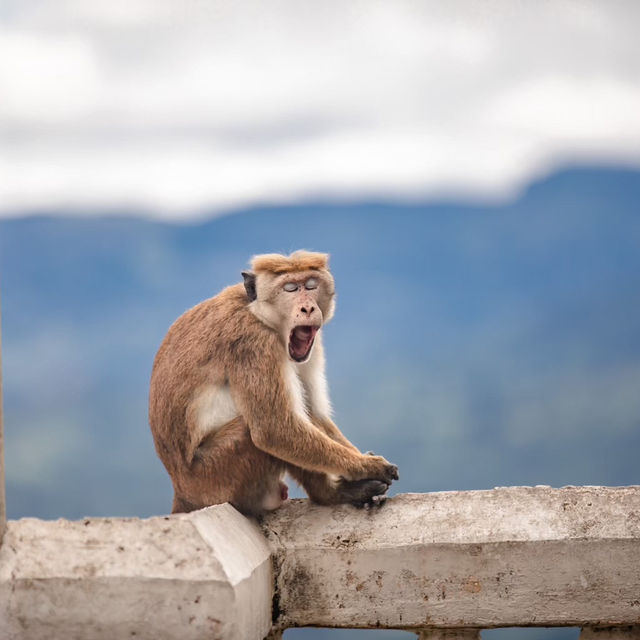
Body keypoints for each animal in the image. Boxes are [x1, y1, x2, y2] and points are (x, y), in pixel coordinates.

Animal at [151, 248, 400, 516]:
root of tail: (182, 491)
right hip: (216, 477)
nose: (307, 308)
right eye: (290, 289)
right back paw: (331, 494)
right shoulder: (253, 343)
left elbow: (313, 412)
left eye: (311, 285)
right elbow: (274, 429)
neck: (256, 312)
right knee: (256, 431)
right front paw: (367, 466)